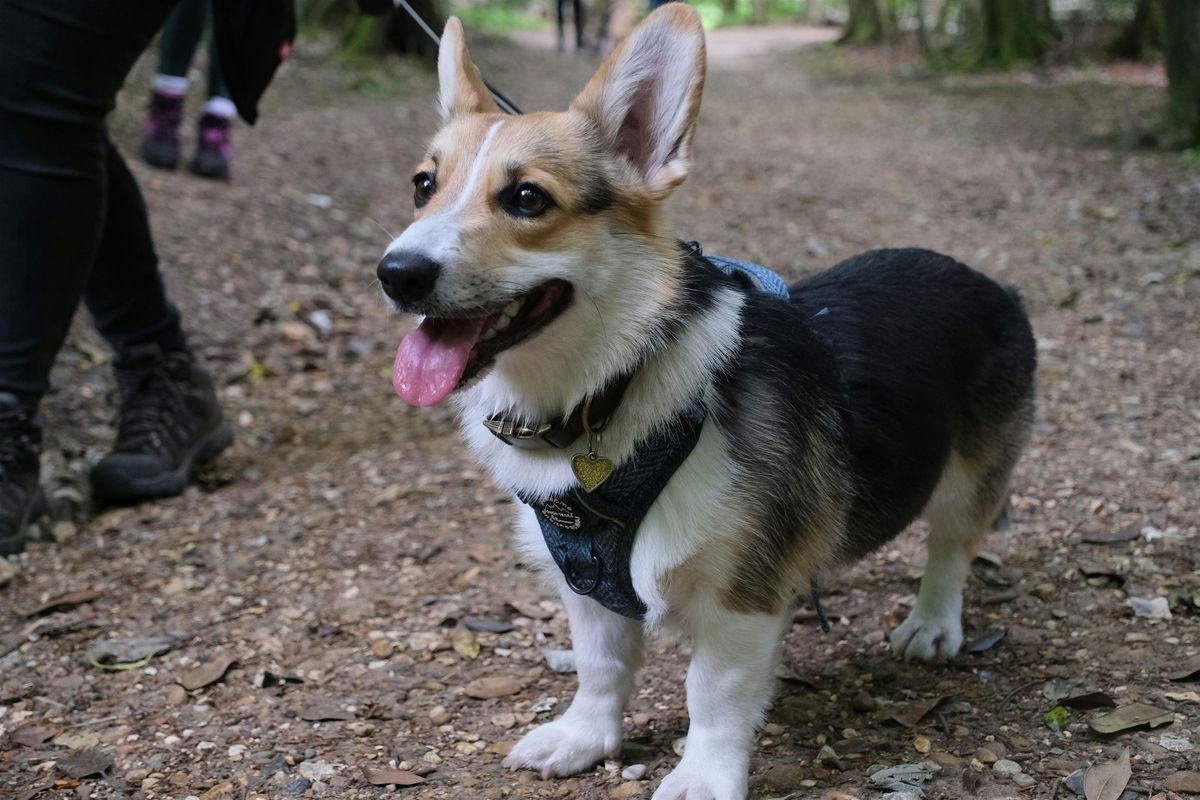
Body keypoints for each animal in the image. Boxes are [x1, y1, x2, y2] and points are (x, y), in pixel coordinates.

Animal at [379, 4, 1036, 796]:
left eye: (527, 198)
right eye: (423, 185)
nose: (395, 273)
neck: (605, 393)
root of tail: (992, 283)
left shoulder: (740, 594)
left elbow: (714, 694)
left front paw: (702, 776)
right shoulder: (585, 584)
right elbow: (601, 666)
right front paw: (582, 738)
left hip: (969, 477)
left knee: (951, 546)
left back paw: (933, 624)